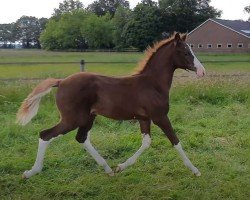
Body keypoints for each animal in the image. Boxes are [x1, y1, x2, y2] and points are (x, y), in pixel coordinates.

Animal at [16, 32, 205, 178]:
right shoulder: (160, 117)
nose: (202, 72)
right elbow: (176, 141)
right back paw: (31, 172)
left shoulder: (144, 118)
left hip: (87, 117)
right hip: (72, 119)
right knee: (45, 134)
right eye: (185, 52)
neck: (152, 84)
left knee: (81, 138)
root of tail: (61, 82)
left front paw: (121, 166)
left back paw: (108, 169)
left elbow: (146, 143)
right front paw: (195, 170)